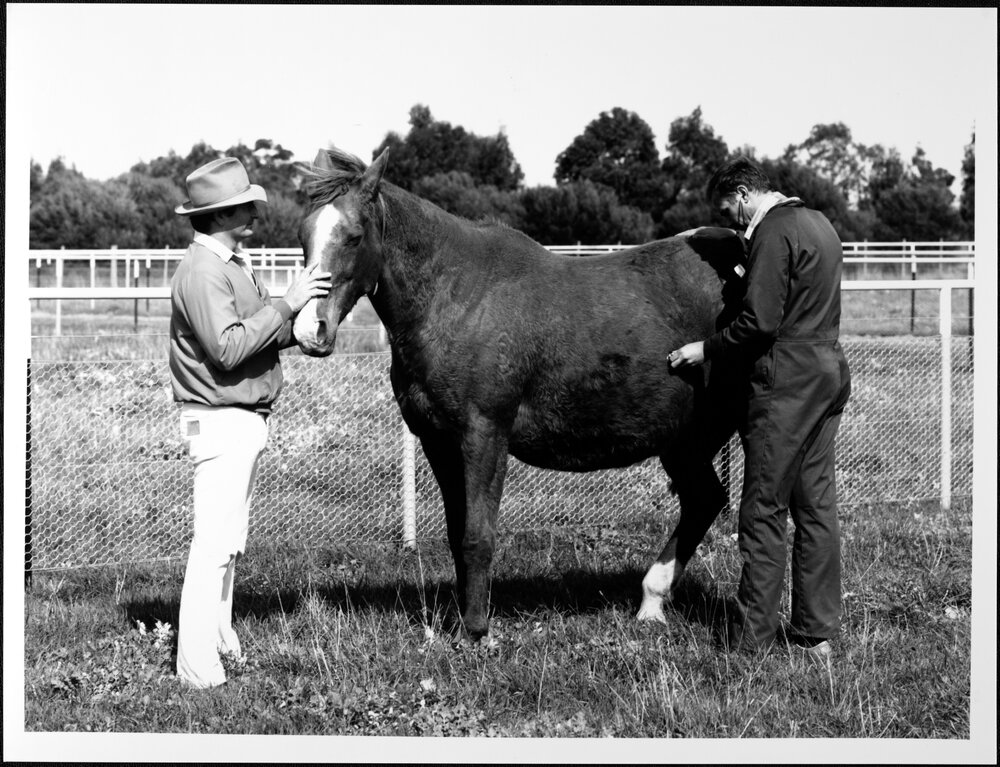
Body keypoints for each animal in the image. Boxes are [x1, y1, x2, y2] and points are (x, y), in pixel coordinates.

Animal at [293, 146, 747, 643]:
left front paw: (475, 630)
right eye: (303, 236)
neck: (458, 296)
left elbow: (477, 535)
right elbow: (456, 532)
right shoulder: (438, 442)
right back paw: (651, 603)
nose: (310, 331)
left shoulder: (485, 435)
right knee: (704, 499)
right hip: (685, 439)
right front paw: (464, 618)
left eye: (354, 236)